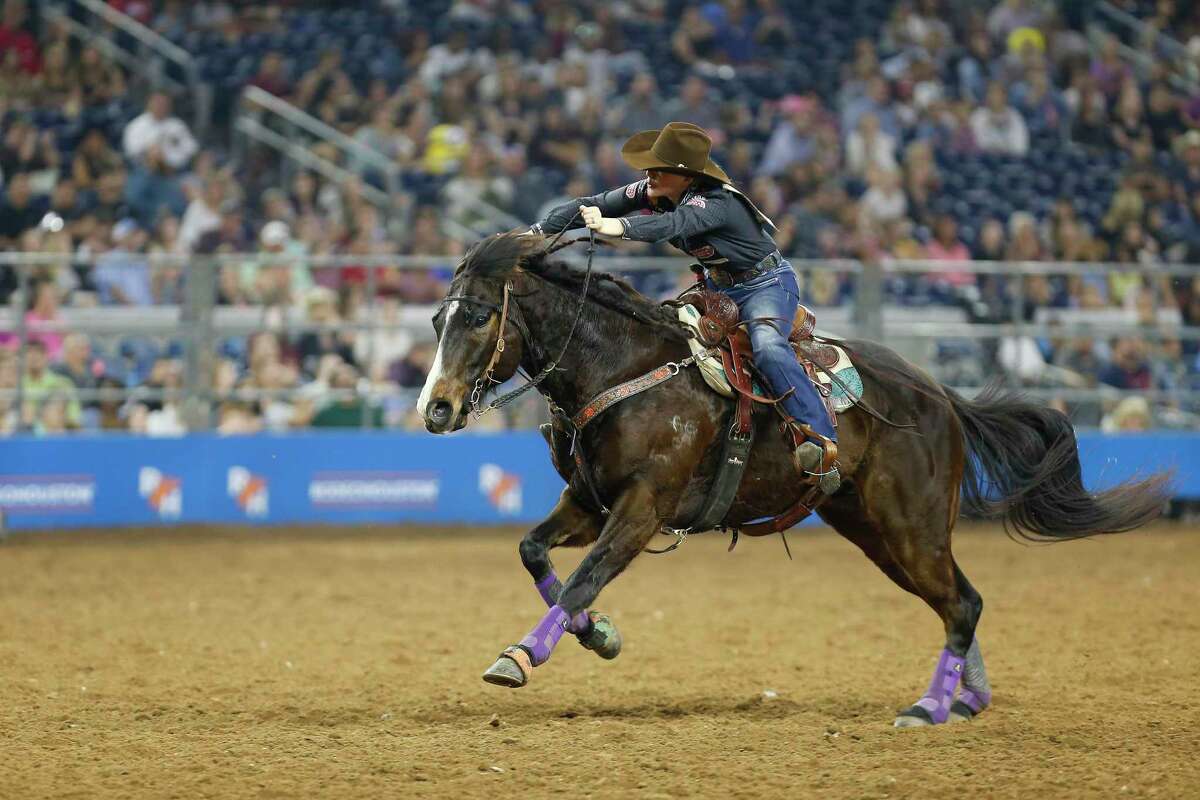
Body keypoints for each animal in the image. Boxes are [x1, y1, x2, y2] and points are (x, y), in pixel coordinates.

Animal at [417, 235, 1166, 729]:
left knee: (961, 603)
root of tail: (939, 395)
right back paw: (967, 698)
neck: (622, 368)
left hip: (911, 525)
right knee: (960, 600)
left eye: (478, 316)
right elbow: (535, 553)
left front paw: (519, 656)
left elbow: (583, 578)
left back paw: (929, 706)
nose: (436, 408)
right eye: (435, 319)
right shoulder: (589, 502)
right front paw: (600, 634)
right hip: (873, 531)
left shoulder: (643, 507)